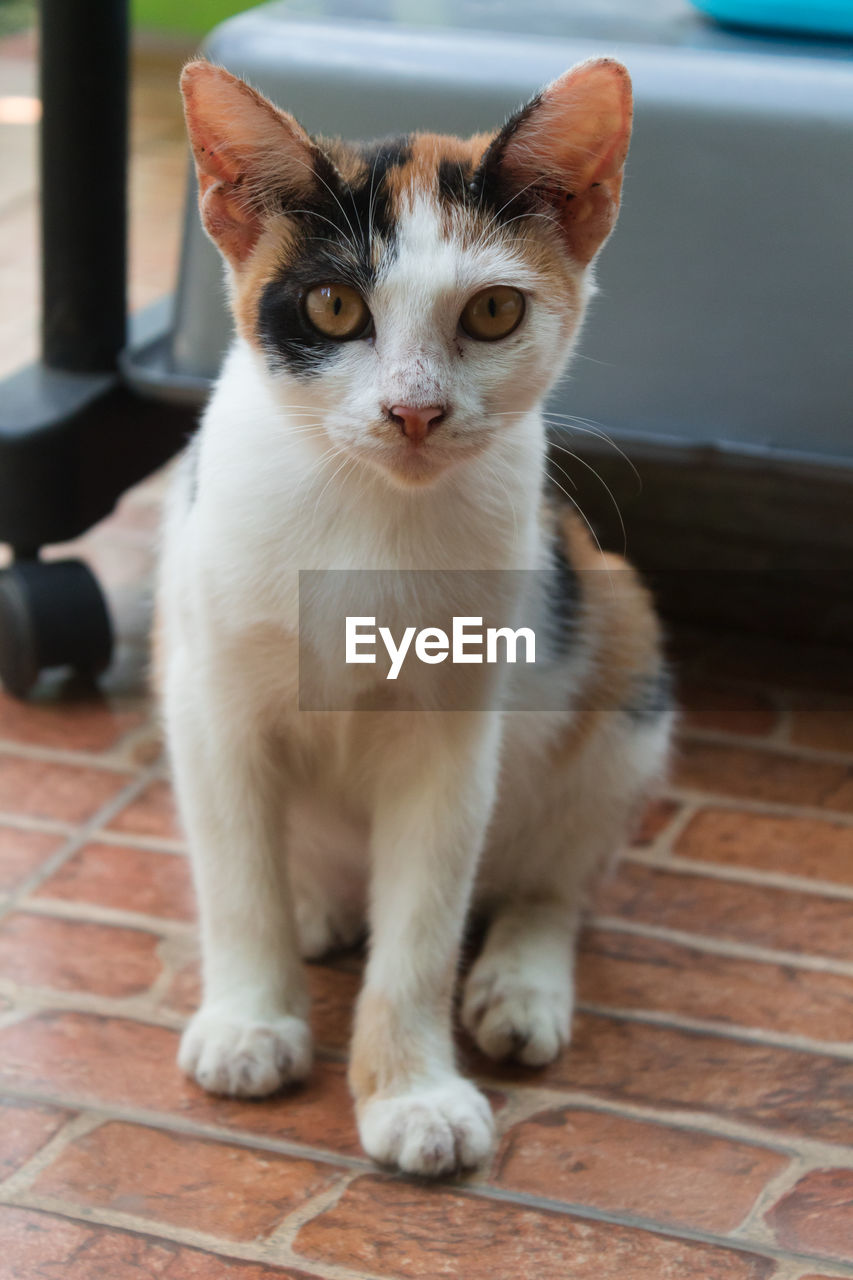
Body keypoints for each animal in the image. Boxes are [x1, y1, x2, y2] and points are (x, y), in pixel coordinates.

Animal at [156, 60, 666, 1177]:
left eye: (492, 312)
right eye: (334, 304)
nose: (414, 411)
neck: (367, 513)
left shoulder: (455, 738)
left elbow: (424, 929)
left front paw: (411, 1092)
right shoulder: (209, 701)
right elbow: (234, 877)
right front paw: (251, 1019)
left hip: (618, 640)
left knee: (553, 878)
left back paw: (520, 982)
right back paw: (312, 908)